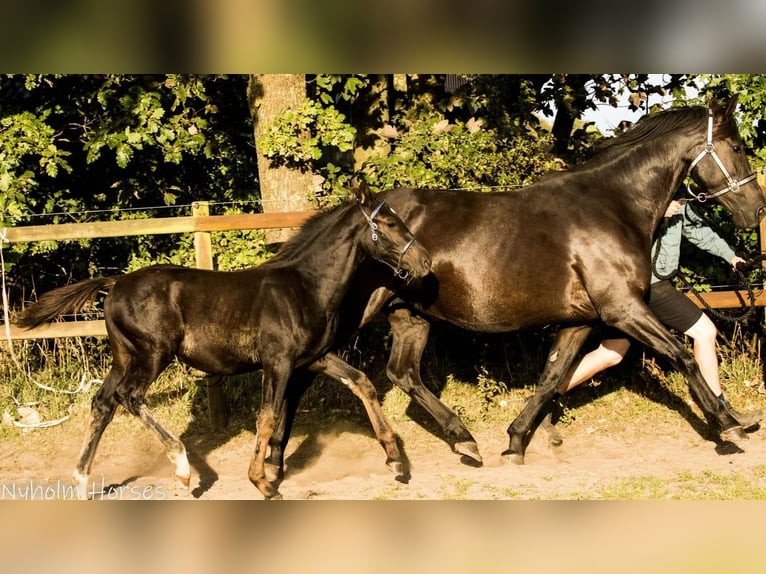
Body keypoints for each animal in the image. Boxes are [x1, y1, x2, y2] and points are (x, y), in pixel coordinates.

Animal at [15, 184, 431, 500]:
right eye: (389, 222)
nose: (425, 261)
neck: (304, 287)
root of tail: (114, 284)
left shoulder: (314, 358)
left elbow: (361, 383)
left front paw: (395, 458)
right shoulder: (278, 362)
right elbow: (268, 417)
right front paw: (262, 482)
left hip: (125, 357)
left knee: (103, 403)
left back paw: (82, 482)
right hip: (153, 355)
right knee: (128, 397)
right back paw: (182, 470)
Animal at [261, 97, 766, 476]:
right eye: (737, 146)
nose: (756, 210)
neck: (611, 206)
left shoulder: (582, 320)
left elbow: (552, 377)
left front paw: (516, 441)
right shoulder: (624, 309)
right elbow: (683, 355)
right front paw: (728, 425)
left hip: (409, 316)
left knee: (403, 374)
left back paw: (464, 442)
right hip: (356, 313)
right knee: (307, 372)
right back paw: (276, 461)